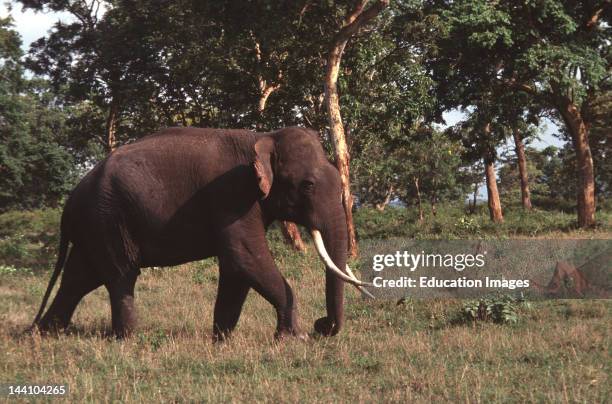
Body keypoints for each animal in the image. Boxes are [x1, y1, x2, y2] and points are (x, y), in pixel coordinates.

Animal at [31, 127, 370, 340]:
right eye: (308, 185)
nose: (321, 326)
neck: (263, 137)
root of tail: (69, 205)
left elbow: (237, 268)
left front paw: (221, 339)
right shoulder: (231, 196)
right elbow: (246, 256)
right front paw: (294, 339)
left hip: (95, 226)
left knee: (79, 278)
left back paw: (45, 335)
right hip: (109, 218)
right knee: (120, 275)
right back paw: (126, 339)